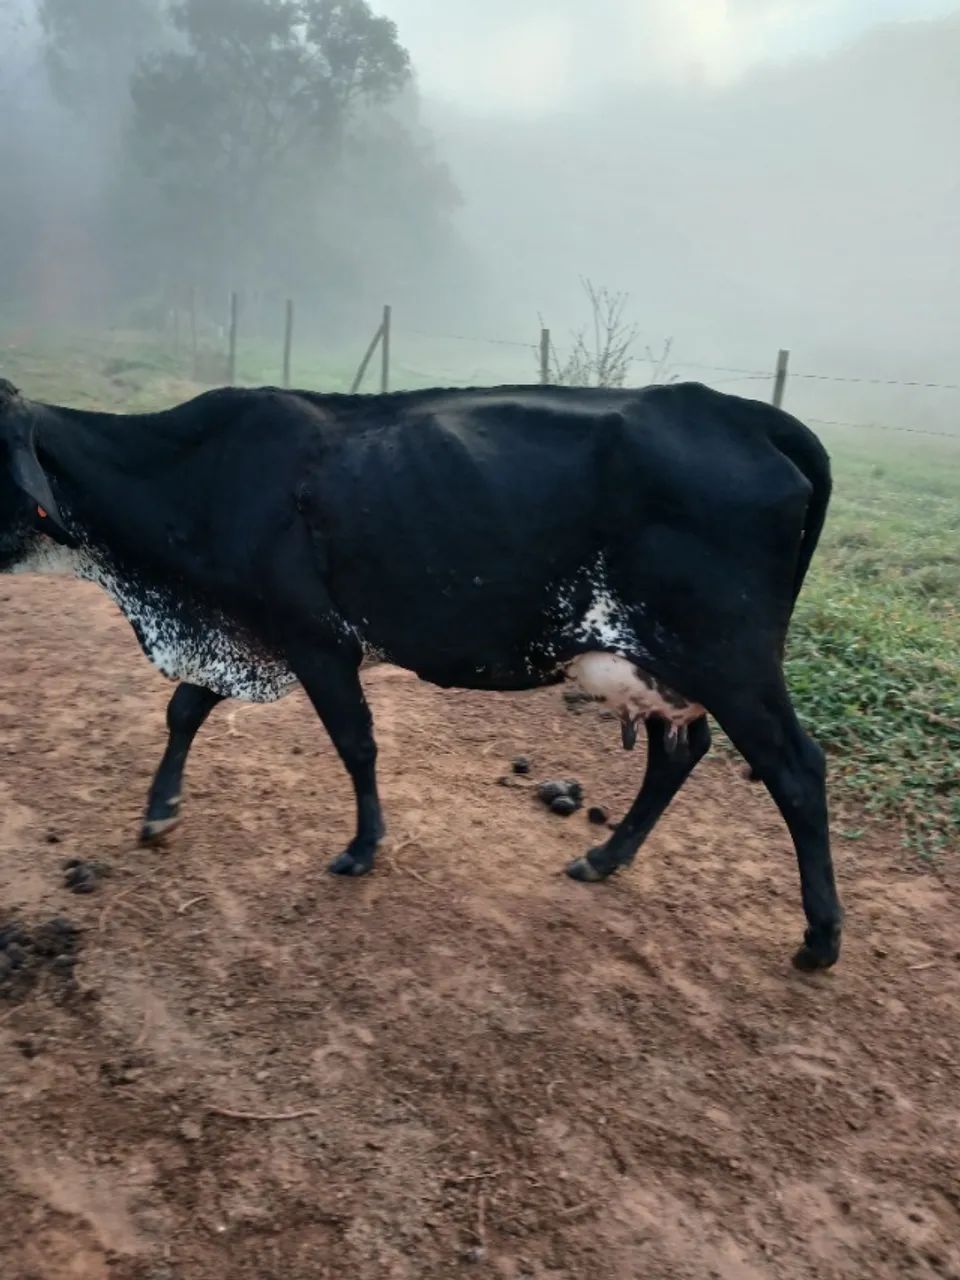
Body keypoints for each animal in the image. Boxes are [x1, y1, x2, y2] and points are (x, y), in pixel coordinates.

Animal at [0, 375, 842, 970]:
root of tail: (742, 414)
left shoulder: (314, 638)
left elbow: (355, 742)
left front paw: (363, 847)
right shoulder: (243, 629)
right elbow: (183, 710)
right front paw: (159, 811)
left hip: (731, 659)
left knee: (796, 770)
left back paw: (820, 938)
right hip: (672, 669)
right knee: (678, 754)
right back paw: (605, 858)